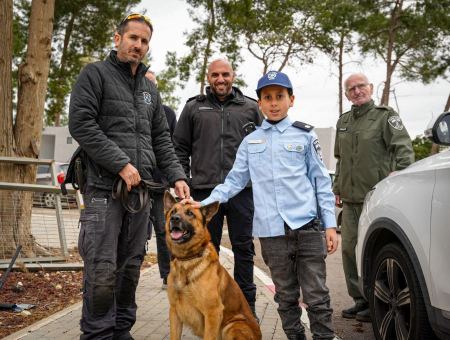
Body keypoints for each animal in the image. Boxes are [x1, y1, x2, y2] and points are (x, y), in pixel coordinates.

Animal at [163, 193, 260, 338]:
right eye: (173, 212)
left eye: (190, 213)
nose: (174, 219)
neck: (187, 260)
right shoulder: (174, 312)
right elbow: (174, 336)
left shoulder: (212, 313)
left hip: (232, 326)